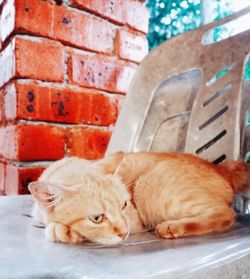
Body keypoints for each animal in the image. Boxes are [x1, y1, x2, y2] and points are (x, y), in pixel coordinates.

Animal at [29, 152, 250, 246]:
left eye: (124, 205)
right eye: (97, 218)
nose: (124, 233)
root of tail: (220, 167)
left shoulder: (134, 219)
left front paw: (63, 231)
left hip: (148, 187)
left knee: (225, 214)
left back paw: (173, 227)